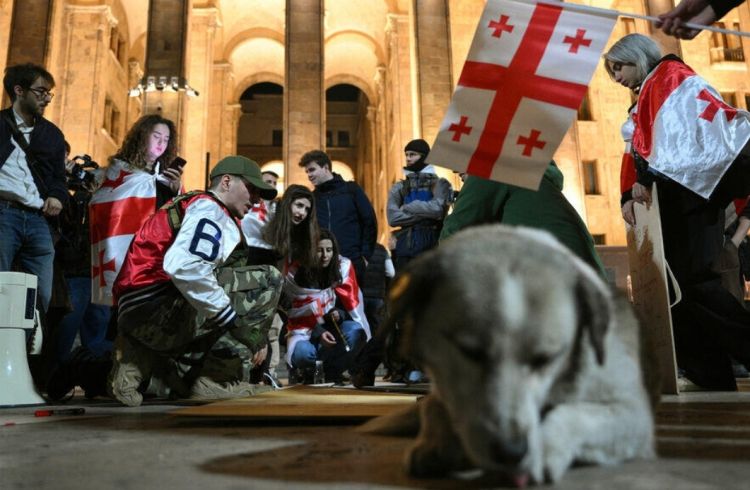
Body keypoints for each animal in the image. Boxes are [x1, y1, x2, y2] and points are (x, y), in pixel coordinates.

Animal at [364, 226, 656, 486]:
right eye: (469, 351)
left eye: (546, 358)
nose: (511, 451)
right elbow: (433, 406)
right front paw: (434, 445)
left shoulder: (634, 416)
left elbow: (575, 414)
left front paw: (544, 447)